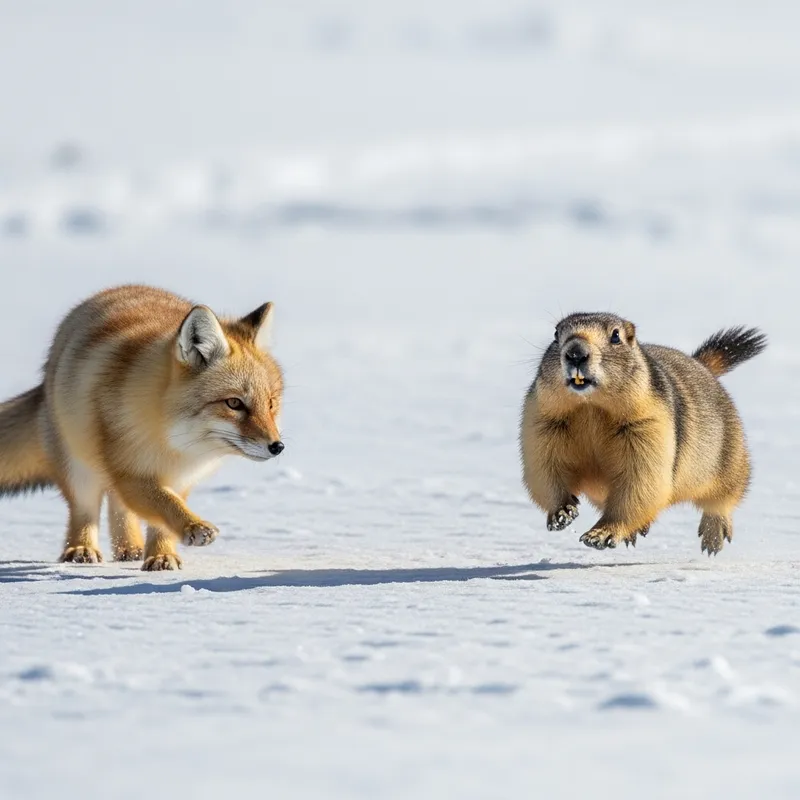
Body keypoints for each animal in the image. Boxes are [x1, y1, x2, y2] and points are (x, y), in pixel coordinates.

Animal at [0, 285, 284, 570]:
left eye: (271, 403)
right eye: (234, 403)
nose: (277, 446)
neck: (172, 441)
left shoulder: (178, 479)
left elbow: (162, 519)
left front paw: (161, 556)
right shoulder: (130, 471)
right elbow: (164, 503)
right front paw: (193, 527)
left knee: (118, 507)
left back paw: (130, 549)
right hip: (79, 468)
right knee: (85, 510)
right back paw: (81, 550)